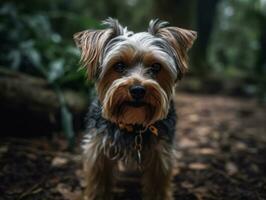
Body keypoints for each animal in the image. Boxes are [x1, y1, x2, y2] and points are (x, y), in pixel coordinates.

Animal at [74, 18, 196, 199]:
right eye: (118, 66)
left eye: (156, 67)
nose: (138, 90)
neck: (133, 125)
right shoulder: (98, 148)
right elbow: (99, 182)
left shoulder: (160, 153)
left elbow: (157, 184)